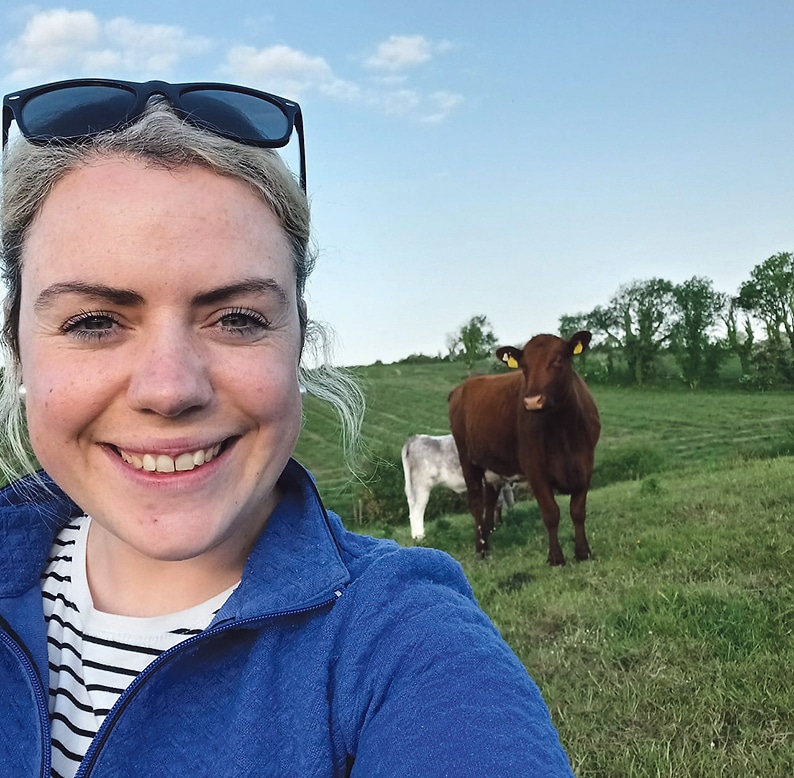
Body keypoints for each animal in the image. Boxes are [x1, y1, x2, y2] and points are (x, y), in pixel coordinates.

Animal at [448, 330, 596, 560]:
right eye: (524, 366)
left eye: (558, 360)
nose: (533, 401)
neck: (564, 429)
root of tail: (463, 387)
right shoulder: (534, 468)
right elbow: (551, 512)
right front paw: (555, 558)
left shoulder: (586, 463)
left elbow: (578, 511)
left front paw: (583, 552)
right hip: (467, 458)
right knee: (476, 503)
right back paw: (481, 548)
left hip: (492, 465)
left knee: (490, 500)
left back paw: (488, 541)